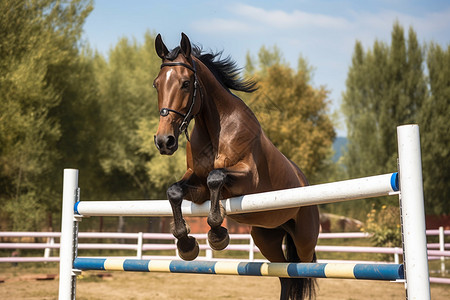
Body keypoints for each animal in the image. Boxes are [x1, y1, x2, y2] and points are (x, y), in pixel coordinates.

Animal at [153, 32, 318, 300]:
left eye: (186, 83)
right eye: (156, 84)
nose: (164, 141)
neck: (216, 129)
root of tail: (304, 181)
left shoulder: (248, 178)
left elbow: (216, 178)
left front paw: (217, 235)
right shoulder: (196, 186)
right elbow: (175, 191)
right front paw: (186, 245)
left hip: (304, 239)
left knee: (303, 272)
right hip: (267, 238)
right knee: (285, 276)